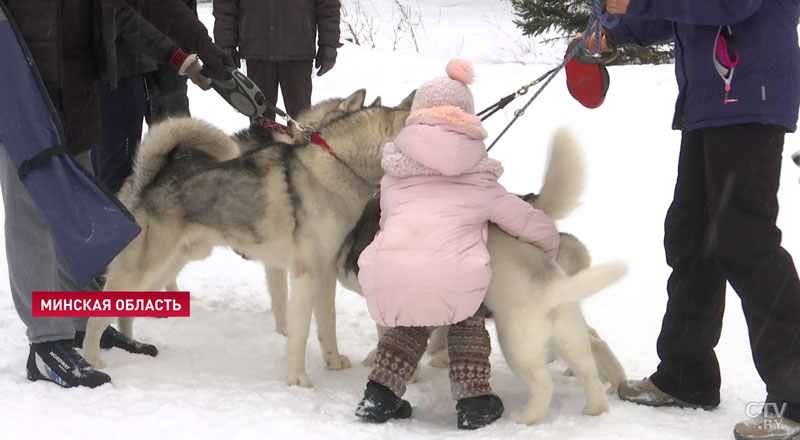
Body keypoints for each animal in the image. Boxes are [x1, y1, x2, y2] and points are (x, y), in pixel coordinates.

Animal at [84, 91, 416, 386]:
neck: (337, 166)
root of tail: (147, 178)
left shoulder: (325, 273)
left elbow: (327, 325)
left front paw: (333, 363)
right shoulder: (306, 274)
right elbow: (300, 333)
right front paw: (298, 380)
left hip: (165, 268)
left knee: (126, 313)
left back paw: (133, 346)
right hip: (144, 269)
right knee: (96, 316)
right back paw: (93, 361)